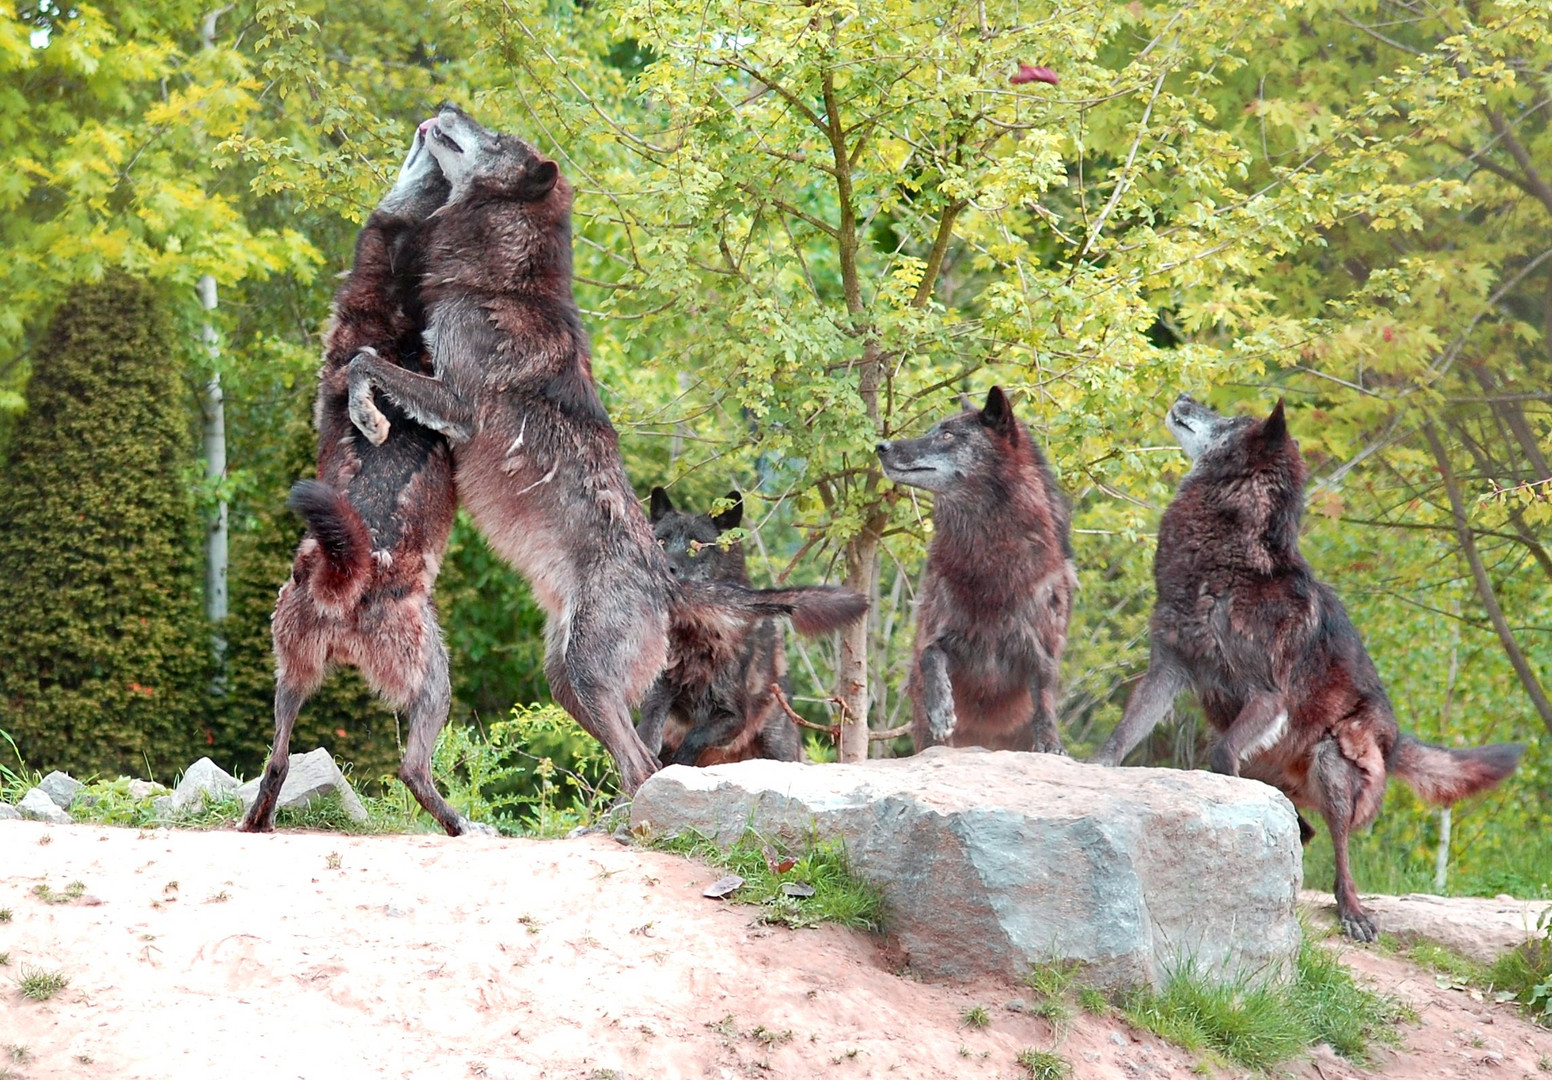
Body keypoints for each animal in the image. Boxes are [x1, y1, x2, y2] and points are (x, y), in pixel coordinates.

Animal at [235, 124, 474, 837]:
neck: (390, 315)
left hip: (288, 667)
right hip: (433, 675)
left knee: (278, 760)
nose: (430, 126)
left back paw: (257, 821)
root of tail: (347, 572)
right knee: (413, 770)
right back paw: (460, 824)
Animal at [636, 490, 869, 766]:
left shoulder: (735, 715)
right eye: (661, 541)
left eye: (698, 545)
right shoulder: (658, 697)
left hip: (776, 746)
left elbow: (694, 738)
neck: (693, 639)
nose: (663, 567)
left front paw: (679, 763)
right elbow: (648, 732)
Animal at [875, 386, 1080, 751]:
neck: (989, 565)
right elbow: (929, 655)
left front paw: (1050, 742)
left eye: (947, 435)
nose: (881, 446)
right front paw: (941, 710)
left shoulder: (1041, 648)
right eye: (931, 430)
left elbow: (1044, 695)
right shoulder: (946, 636)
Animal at [1092, 397, 1527, 937]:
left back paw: (1352, 910)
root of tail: (1395, 740)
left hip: (1333, 756)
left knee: (1337, 848)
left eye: (1229, 420)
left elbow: (1221, 753)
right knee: (1305, 826)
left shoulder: (1267, 696)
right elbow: (1122, 736)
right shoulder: (1169, 669)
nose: (1185, 397)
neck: (1230, 559)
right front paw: (1090, 769)